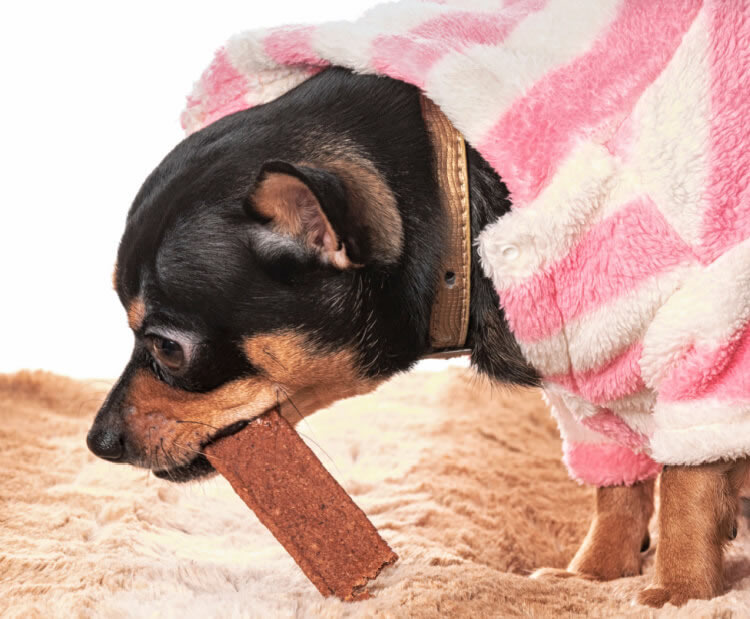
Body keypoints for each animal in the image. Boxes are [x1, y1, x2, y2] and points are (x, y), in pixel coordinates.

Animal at [86, 66, 748, 604]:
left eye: (168, 348)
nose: (98, 442)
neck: (459, 210)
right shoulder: (582, 377)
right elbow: (617, 485)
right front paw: (595, 576)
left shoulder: (702, 340)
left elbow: (684, 483)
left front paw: (680, 591)